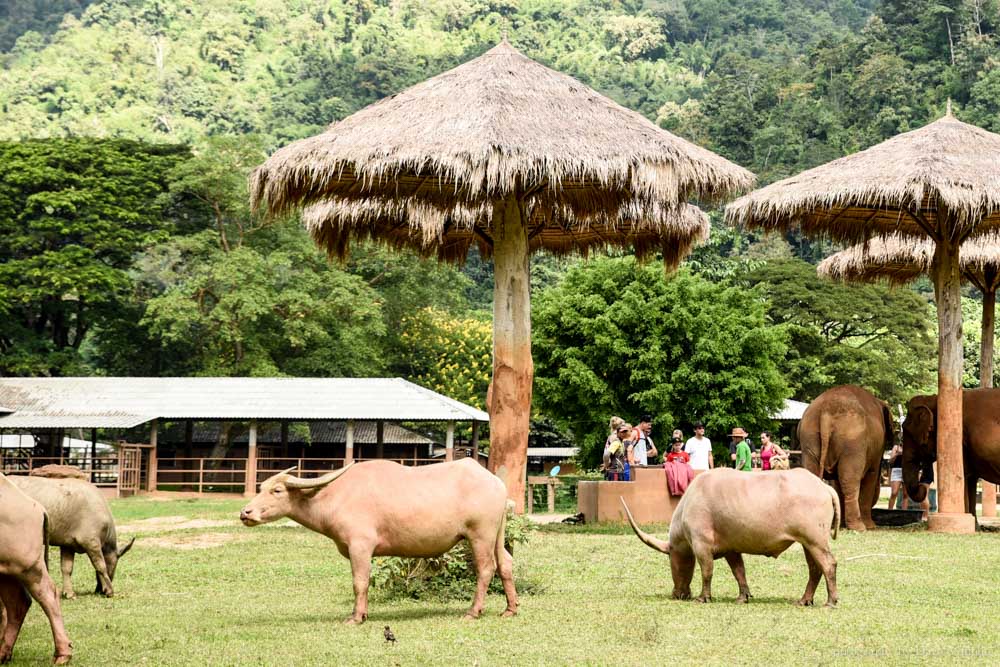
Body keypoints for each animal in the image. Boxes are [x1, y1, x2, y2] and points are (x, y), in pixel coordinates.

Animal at [0, 472, 72, 664]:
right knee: (17, 604)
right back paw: (3, 653)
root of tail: (36, 507)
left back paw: (62, 654)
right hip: (8, 571)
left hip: (29, 567)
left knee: (47, 594)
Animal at [239, 462, 520, 624]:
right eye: (260, 488)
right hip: (496, 535)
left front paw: (357, 617)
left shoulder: (360, 546)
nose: (245, 513)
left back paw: (473, 611)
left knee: (486, 568)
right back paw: (510, 609)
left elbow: (360, 582)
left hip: (480, 535)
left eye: (277, 490)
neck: (335, 497)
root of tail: (496, 483)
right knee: (505, 563)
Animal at [620, 470, 840, 604]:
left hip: (815, 541)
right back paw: (804, 600)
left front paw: (703, 597)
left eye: (671, 562)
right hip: (808, 543)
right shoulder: (731, 550)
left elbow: (707, 572)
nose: (677, 594)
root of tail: (823, 486)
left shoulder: (701, 545)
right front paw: (743, 597)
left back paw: (831, 601)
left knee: (828, 564)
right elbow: (739, 572)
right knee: (815, 569)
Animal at [796, 386, 892, 532]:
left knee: (813, 475)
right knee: (850, 480)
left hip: (808, 437)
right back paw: (859, 527)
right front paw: (871, 526)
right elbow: (871, 475)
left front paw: (841, 524)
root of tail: (826, 411)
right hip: (853, 442)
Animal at [900, 388, 1000, 516]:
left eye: (908, 431)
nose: (922, 485)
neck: (934, 398)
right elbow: (970, 480)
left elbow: (964, 477)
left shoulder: (962, 443)